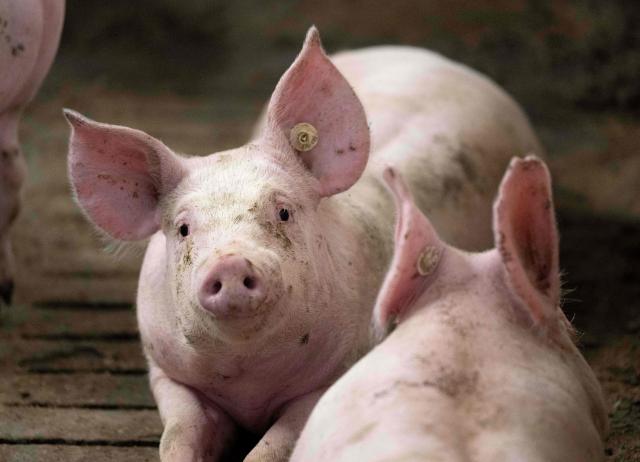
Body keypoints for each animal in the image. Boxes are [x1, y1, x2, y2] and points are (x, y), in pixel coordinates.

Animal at [65, 27, 544, 461]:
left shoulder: (333, 376)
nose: (230, 263)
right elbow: (177, 435)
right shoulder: (168, 373)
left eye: (283, 212)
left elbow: (273, 446)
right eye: (183, 228)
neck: (247, 378)